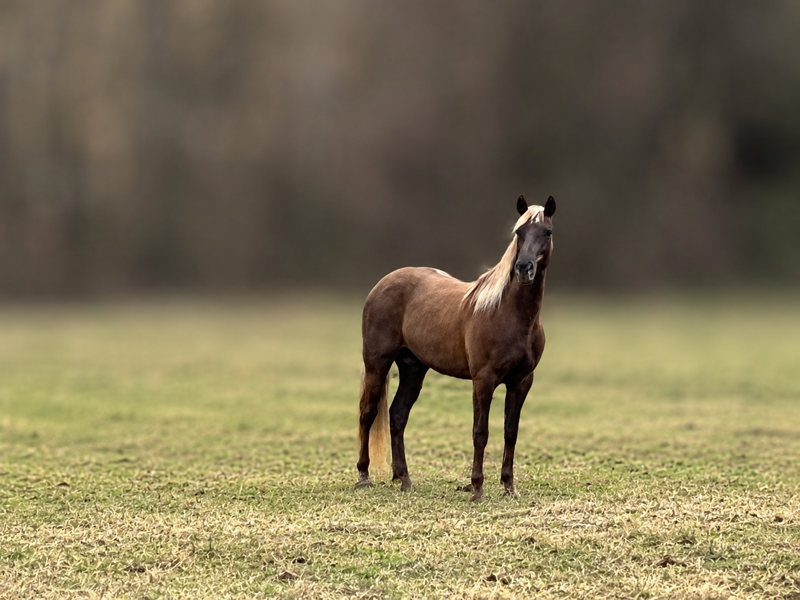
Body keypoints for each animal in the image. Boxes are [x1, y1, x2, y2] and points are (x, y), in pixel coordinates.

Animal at [355, 195, 556, 501]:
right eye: (519, 232)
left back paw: (405, 479)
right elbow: (480, 432)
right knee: (368, 413)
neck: (508, 313)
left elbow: (511, 432)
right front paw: (477, 489)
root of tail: (383, 283)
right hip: (377, 364)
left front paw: (509, 487)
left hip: (413, 368)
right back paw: (363, 477)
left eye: (547, 232)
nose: (524, 268)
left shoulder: (521, 382)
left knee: (397, 415)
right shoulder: (483, 380)